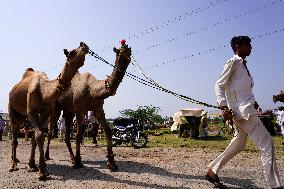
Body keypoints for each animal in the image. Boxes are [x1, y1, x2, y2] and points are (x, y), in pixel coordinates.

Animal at [8, 42, 89, 179]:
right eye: (72, 52)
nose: (84, 44)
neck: (44, 91)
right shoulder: (32, 112)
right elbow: (40, 135)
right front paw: (42, 171)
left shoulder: (45, 113)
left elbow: (36, 137)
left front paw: (33, 165)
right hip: (11, 108)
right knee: (14, 137)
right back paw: (13, 165)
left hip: (22, 115)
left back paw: (17, 160)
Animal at [45, 42, 132, 171]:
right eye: (120, 51)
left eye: (129, 50)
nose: (83, 44)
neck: (93, 90)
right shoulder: (80, 109)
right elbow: (78, 135)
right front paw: (78, 162)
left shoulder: (98, 109)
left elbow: (108, 131)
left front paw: (112, 163)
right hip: (57, 106)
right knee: (51, 130)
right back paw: (48, 156)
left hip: (69, 110)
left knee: (67, 135)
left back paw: (72, 157)